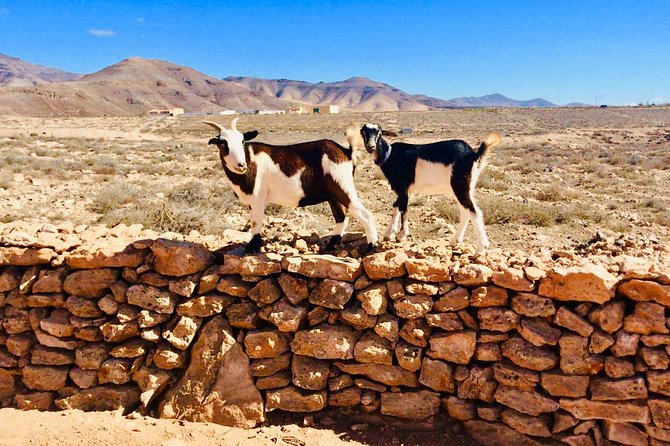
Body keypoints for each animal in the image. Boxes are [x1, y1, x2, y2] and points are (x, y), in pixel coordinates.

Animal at [205, 116, 378, 253]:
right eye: (222, 144)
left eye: (242, 141)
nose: (241, 165)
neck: (250, 160)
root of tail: (346, 152)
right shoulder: (253, 202)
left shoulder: (258, 198)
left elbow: (256, 222)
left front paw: (252, 248)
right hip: (332, 195)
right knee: (341, 218)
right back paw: (331, 246)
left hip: (343, 187)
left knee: (366, 215)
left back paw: (371, 247)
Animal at [360, 123, 502, 253]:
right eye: (363, 132)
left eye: (379, 132)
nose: (371, 147)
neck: (390, 155)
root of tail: (474, 154)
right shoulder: (403, 190)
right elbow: (396, 206)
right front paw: (389, 234)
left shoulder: (403, 188)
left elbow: (403, 209)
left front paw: (401, 235)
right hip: (466, 187)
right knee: (466, 211)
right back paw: (455, 241)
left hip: (459, 186)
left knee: (474, 212)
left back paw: (481, 249)